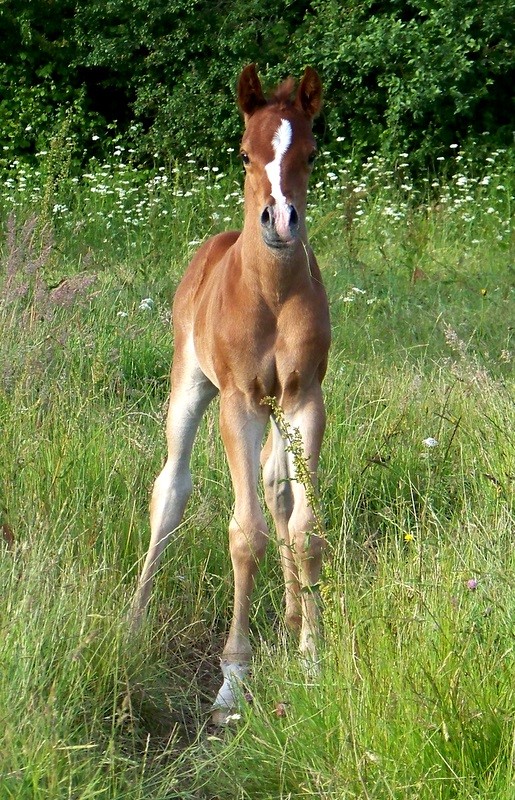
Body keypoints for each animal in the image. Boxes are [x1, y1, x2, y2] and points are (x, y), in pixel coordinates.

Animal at [132, 65, 330, 720]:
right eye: (245, 152)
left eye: (311, 153)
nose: (281, 221)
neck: (271, 294)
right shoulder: (237, 403)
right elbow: (246, 535)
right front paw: (233, 679)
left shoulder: (304, 400)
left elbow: (304, 529)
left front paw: (311, 659)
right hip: (189, 387)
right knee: (170, 488)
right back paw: (132, 622)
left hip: (275, 412)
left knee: (277, 489)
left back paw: (292, 616)